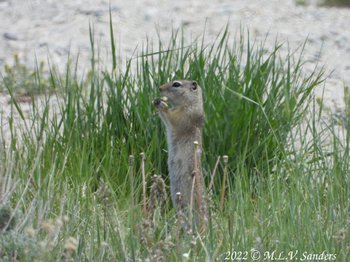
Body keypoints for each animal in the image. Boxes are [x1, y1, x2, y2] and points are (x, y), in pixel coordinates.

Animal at [154, 79, 208, 220]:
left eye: (176, 84)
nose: (160, 88)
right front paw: (156, 101)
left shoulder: (183, 117)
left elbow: (172, 118)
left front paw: (162, 104)